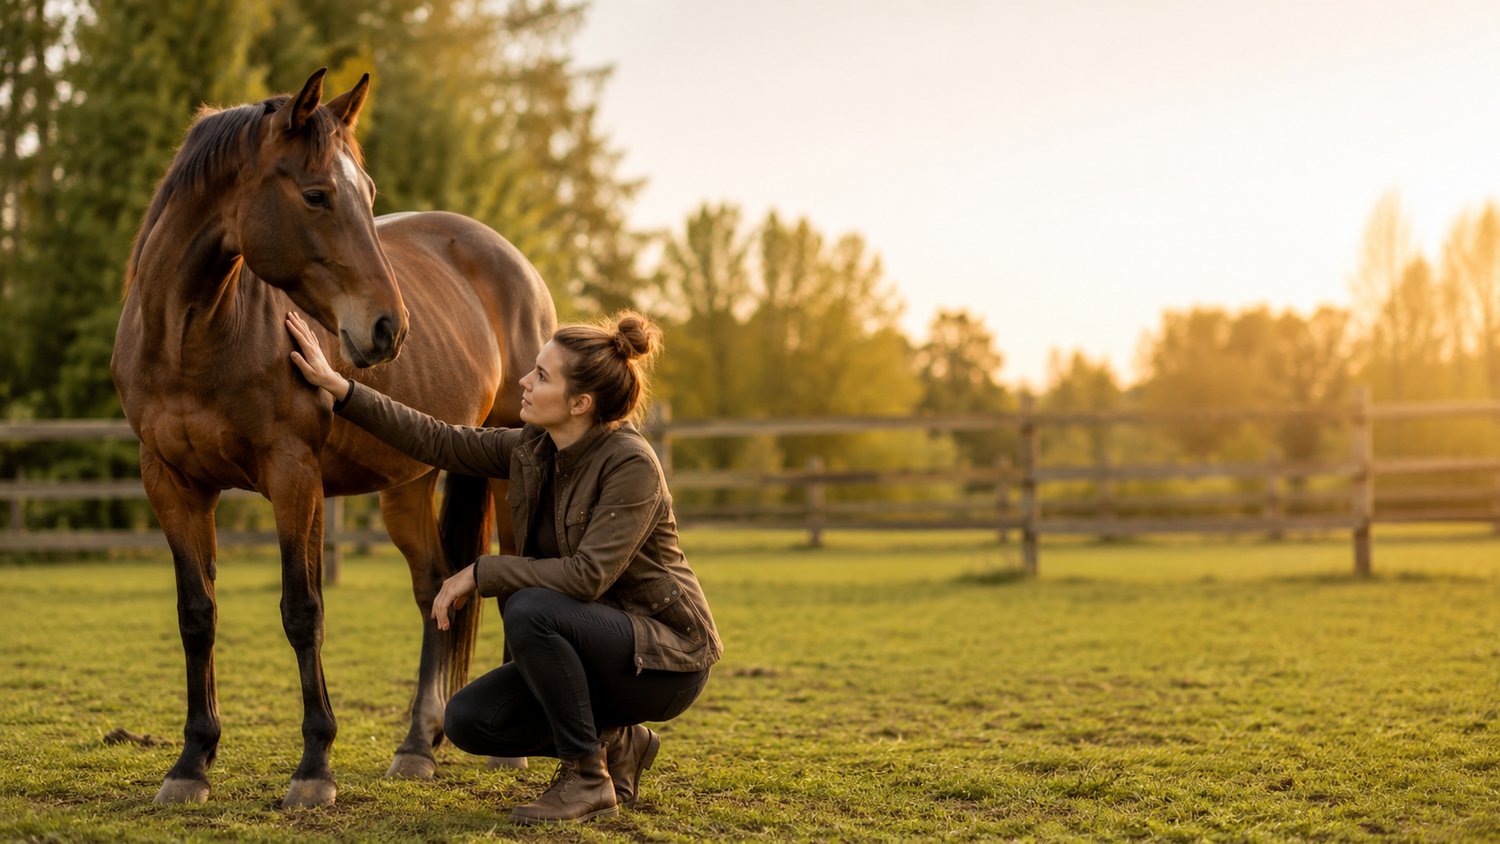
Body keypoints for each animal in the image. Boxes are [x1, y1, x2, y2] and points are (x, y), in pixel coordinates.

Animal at [111, 68, 555, 808]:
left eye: (368, 195)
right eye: (316, 194)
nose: (387, 329)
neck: (191, 338)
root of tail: (514, 263)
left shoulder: (294, 476)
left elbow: (303, 610)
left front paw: (314, 766)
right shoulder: (170, 482)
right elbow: (196, 615)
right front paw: (192, 762)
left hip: (508, 465)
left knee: (513, 583)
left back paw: (509, 749)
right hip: (408, 483)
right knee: (434, 588)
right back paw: (417, 746)